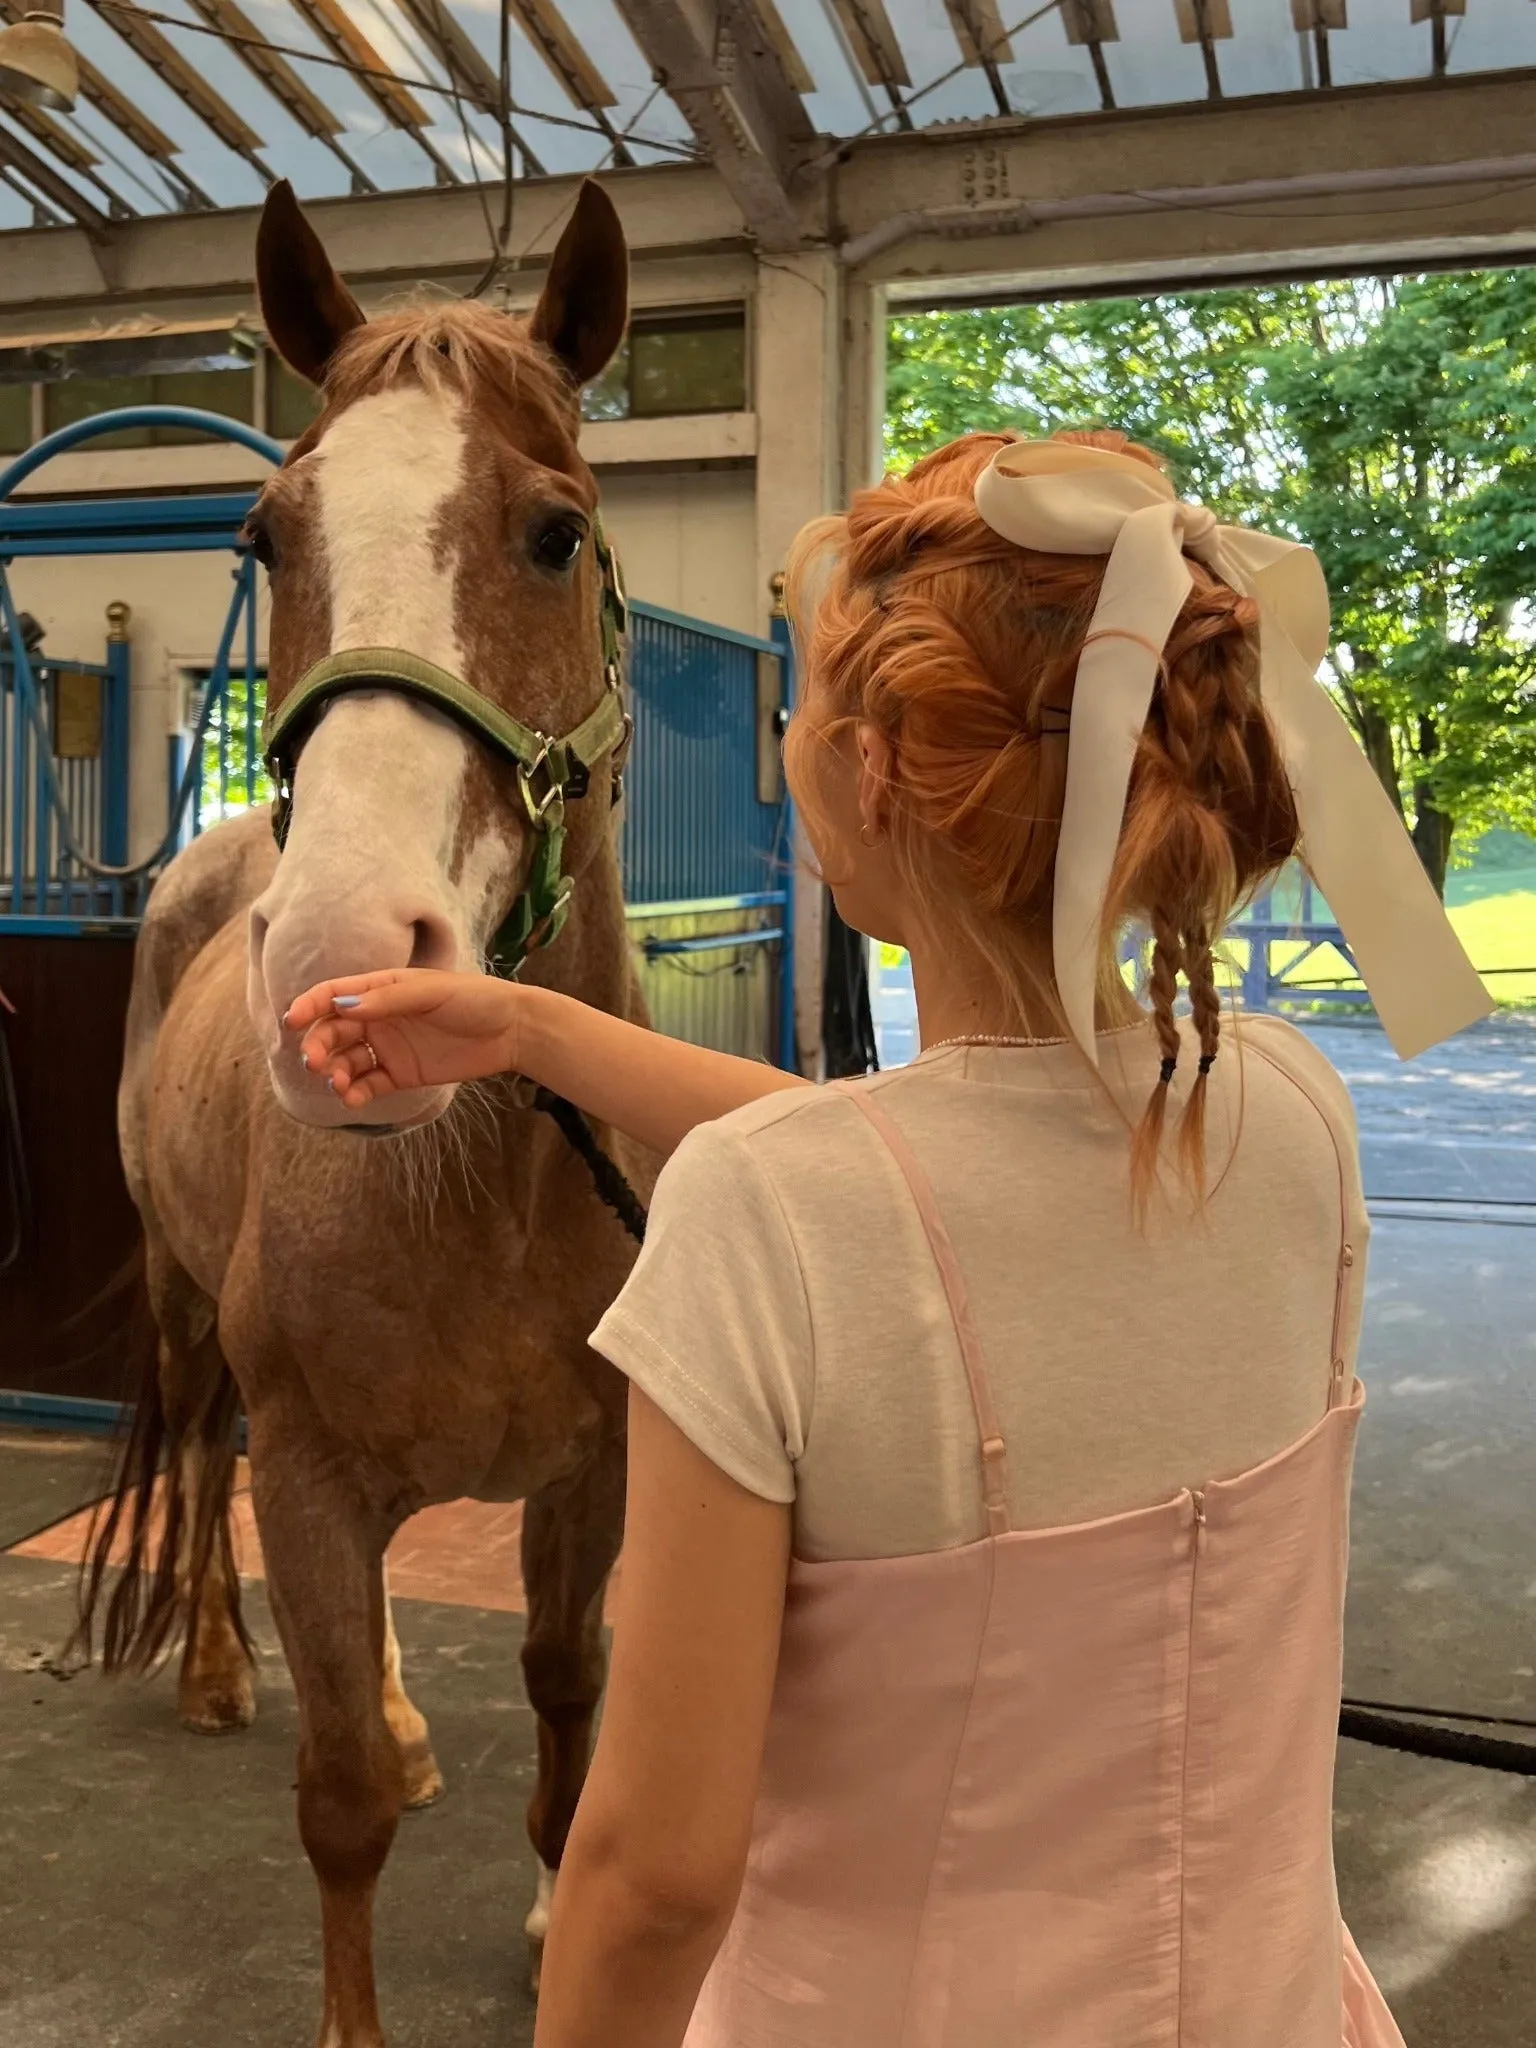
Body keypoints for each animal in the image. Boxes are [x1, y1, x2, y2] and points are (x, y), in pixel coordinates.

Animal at [82, 180, 655, 2048]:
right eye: (265, 538)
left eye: (556, 533)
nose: (338, 970)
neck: (487, 1191)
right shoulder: (316, 1478)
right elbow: (332, 1810)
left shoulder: (590, 1476)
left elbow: (569, 1701)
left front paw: (555, 1921)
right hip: (186, 1311)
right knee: (200, 1460)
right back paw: (212, 1668)